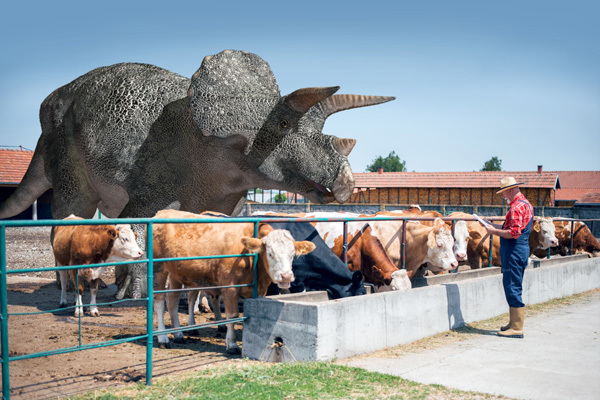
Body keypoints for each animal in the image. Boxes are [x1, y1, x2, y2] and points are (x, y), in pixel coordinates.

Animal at [152, 209, 316, 354]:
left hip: (176, 273)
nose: (286, 276)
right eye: (270, 253)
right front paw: (231, 344)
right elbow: (232, 315)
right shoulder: (230, 287)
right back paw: (163, 338)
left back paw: (178, 334)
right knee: (159, 301)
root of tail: (163, 212)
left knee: (172, 300)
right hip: (158, 268)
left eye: (292, 254)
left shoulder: (260, 291)